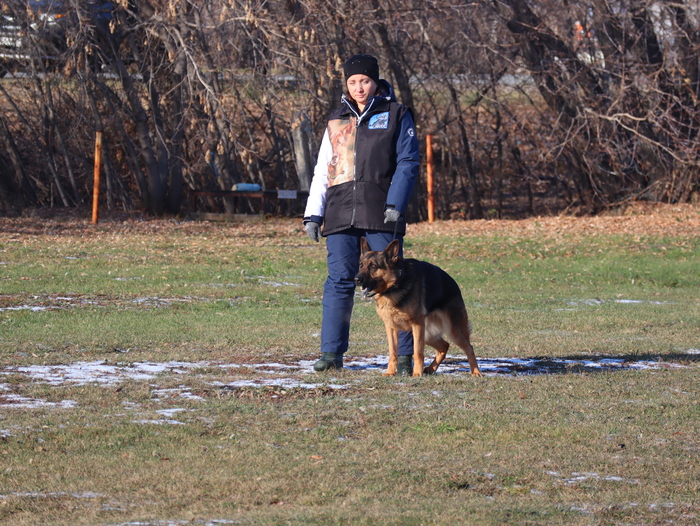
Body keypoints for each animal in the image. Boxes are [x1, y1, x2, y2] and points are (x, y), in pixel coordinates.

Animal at [355, 238, 482, 378]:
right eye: (361, 265)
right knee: (444, 346)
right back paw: (431, 368)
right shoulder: (391, 327)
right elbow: (393, 352)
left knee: (468, 347)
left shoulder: (417, 325)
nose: (356, 279)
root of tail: (453, 283)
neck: (395, 284)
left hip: (452, 331)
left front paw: (416, 373)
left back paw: (476, 372)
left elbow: (417, 352)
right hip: (428, 334)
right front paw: (390, 372)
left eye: (373, 266)